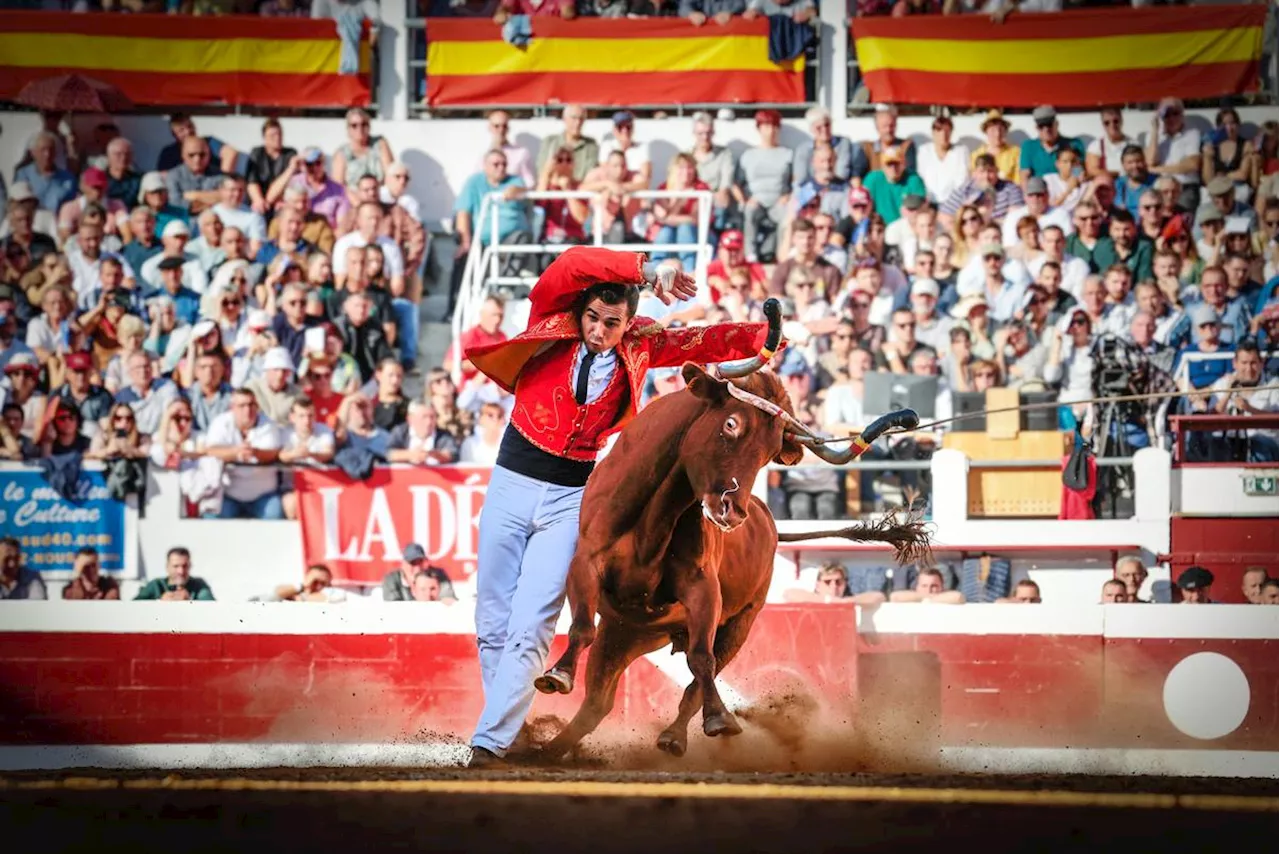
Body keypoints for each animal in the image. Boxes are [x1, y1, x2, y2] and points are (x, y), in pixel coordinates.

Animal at [532, 363, 931, 763]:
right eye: (731, 424)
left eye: (769, 452)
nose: (732, 511)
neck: (654, 518)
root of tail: (770, 522)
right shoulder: (586, 564)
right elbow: (582, 626)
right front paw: (558, 674)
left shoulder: (704, 590)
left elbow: (701, 659)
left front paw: (719, 718)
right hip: (625, 631)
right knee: (598, 700)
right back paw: (546, 750)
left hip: (732, 627)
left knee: (680, 684)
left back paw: (673, 735)